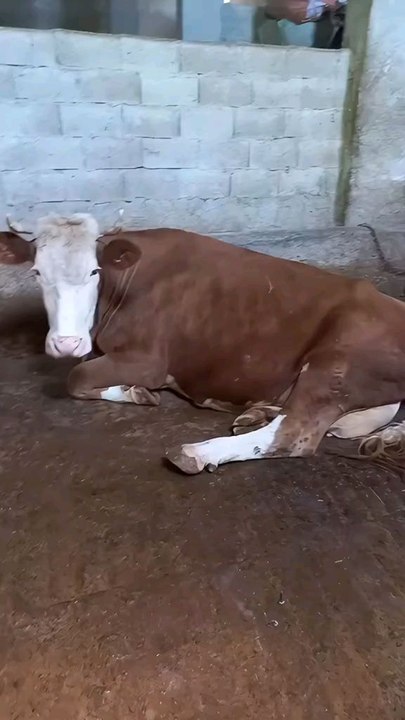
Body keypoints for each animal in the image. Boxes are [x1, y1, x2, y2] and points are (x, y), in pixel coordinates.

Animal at [1, 212, 405, 476]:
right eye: (37, 272)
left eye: (94, 270)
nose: (66, 343)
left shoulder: (148, 360)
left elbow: (76, 378)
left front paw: (136, 392)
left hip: (336, 360)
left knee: (296, 434)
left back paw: (195, 451)